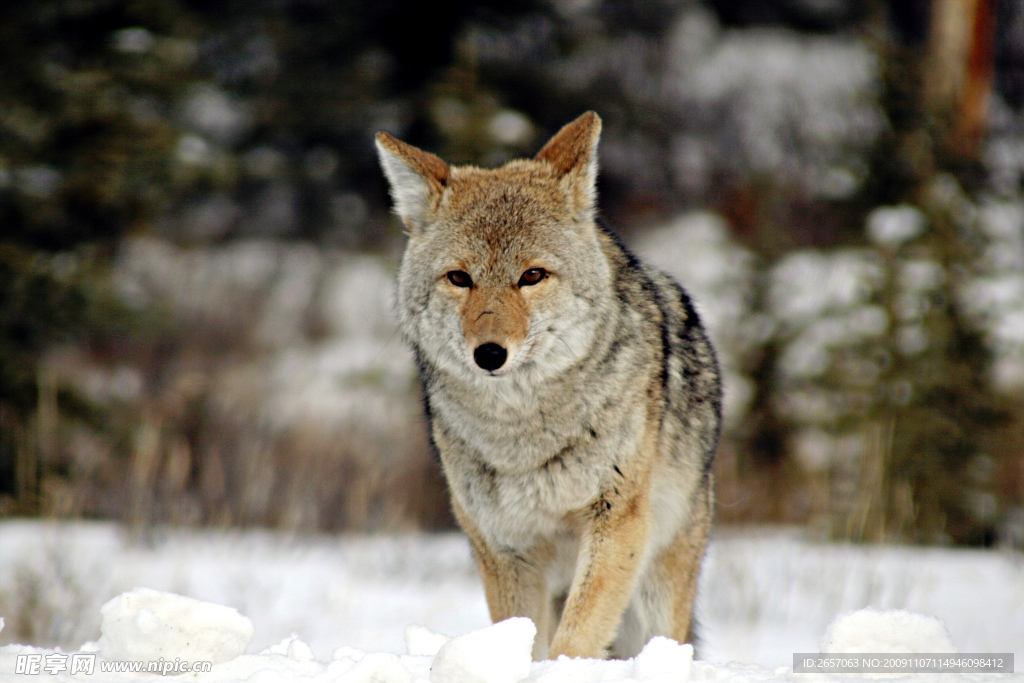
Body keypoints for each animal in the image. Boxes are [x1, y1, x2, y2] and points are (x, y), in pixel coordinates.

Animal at [376, 113, 720, 663]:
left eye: (532, 275)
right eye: (460, 278)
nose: (490, 354)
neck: (523, 436)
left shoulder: (616, 522)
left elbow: (575, 638)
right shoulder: (503, 546)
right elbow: (523, 637)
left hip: (657, 591)